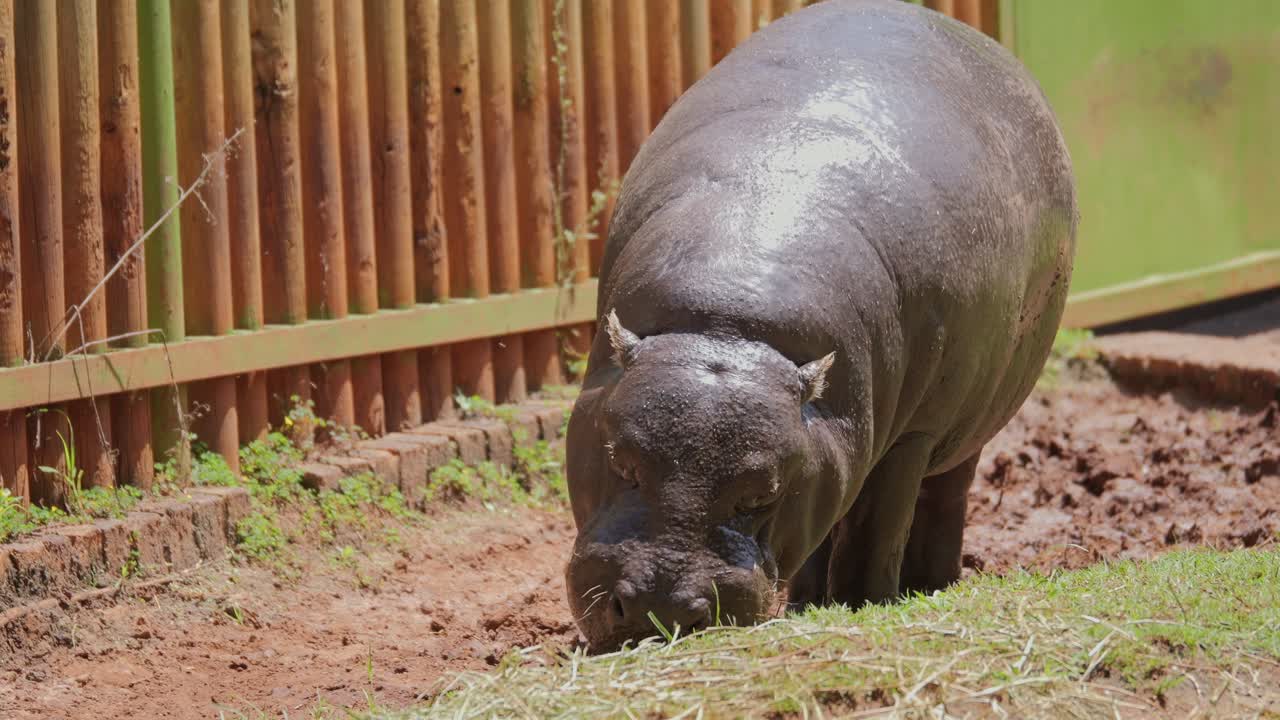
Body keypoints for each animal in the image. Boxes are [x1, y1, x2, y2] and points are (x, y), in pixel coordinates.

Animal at [564, 0, 1078, 650]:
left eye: (761, 492)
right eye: (620, 460)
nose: (662, 607)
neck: (728, 321)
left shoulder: (908, 439)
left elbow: (877, 528)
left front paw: (864, 605)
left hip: (964, 425)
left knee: (943, 498)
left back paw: (930, 584)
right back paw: (808, 600)